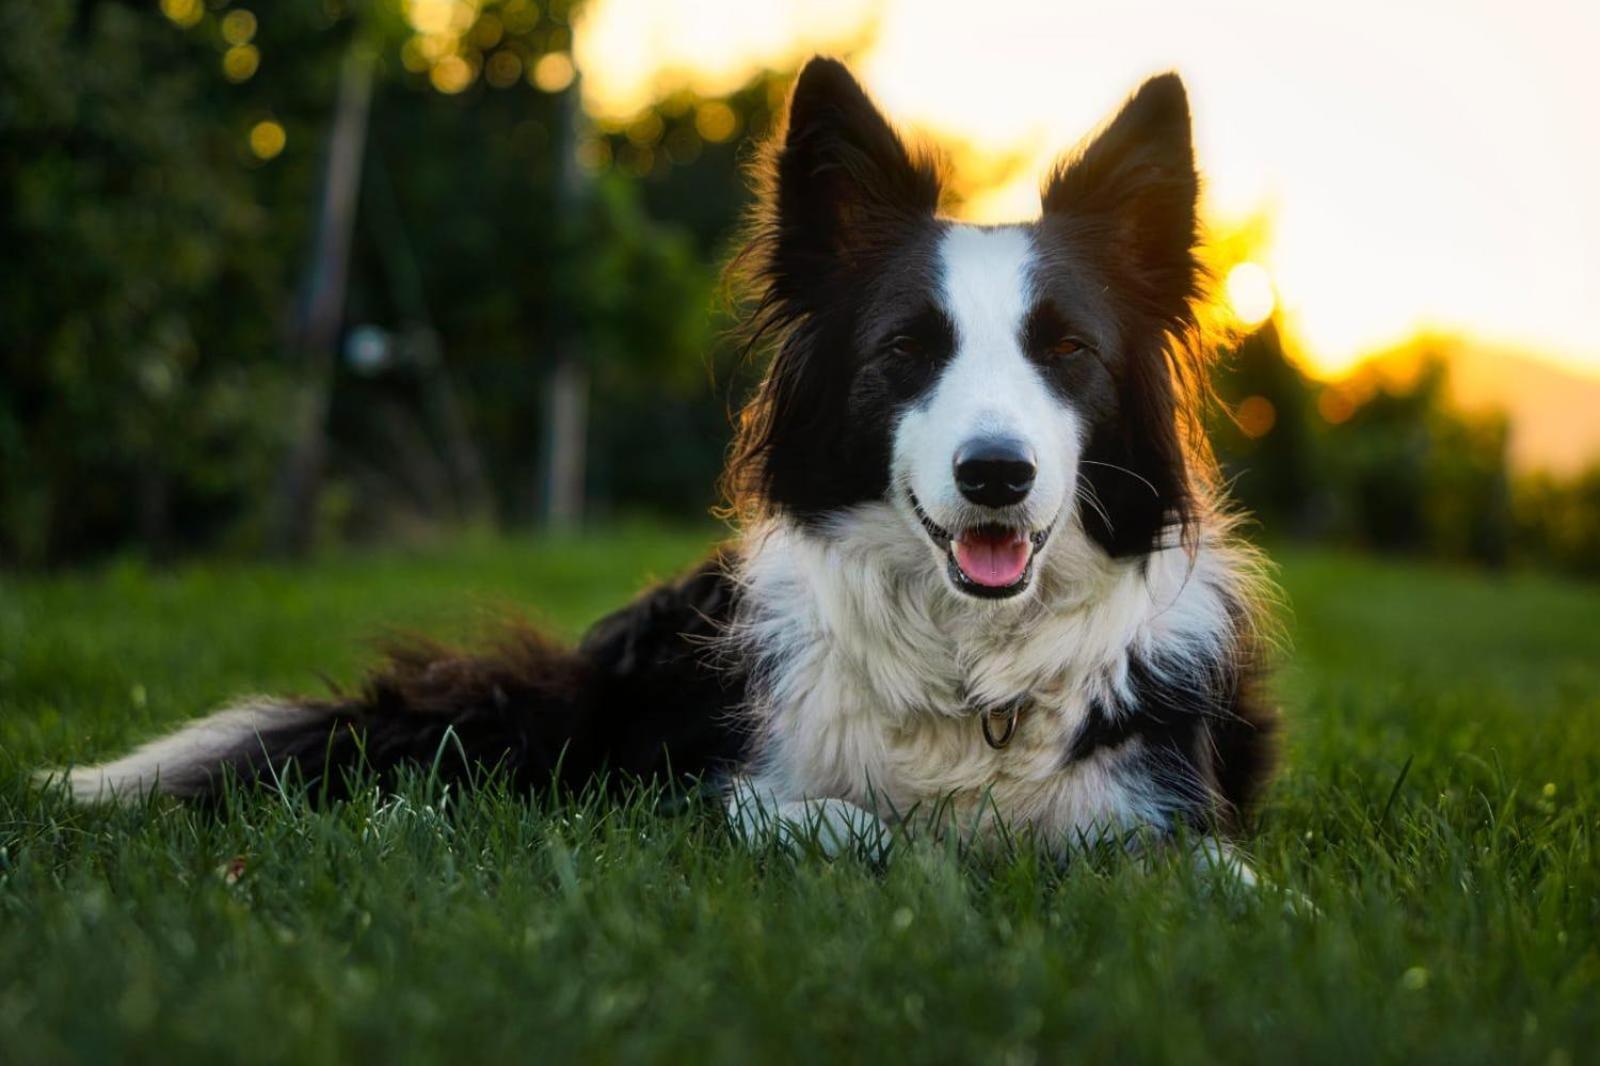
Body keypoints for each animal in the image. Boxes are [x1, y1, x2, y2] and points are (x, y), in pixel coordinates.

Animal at [46, 58, 1273, 870]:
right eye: (906, 350)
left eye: (1065, 351)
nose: (996, 476)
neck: (974, 670)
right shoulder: (696, 790)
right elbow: (823, 818)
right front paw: (924, 847)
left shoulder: (1166, 811)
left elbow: (1213, 871)